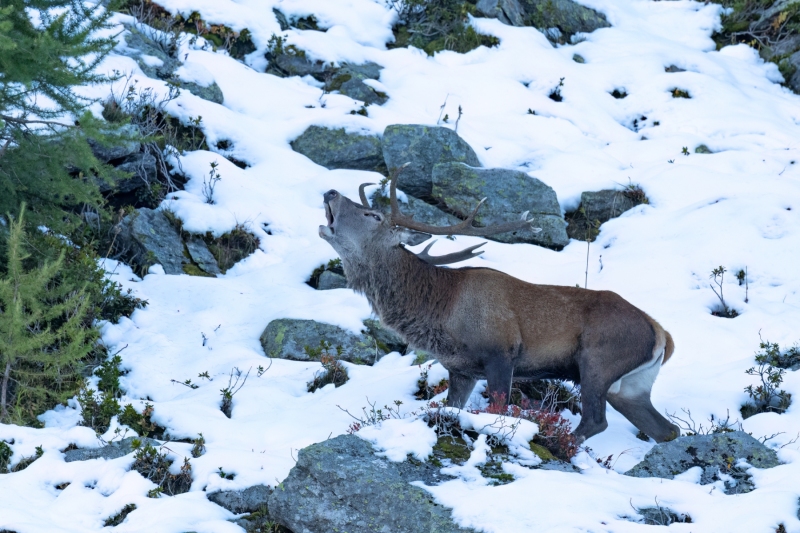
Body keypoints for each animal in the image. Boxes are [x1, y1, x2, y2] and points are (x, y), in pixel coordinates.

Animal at [318, 168, 679, 443]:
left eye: (373, 215)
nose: (330, 192)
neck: (440, 313)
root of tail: (663, 334)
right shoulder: (461, 369)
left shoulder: (501, 352)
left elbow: (498, 410)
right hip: (631, 386)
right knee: (667, 429)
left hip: (598, 362)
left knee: (595, 420)